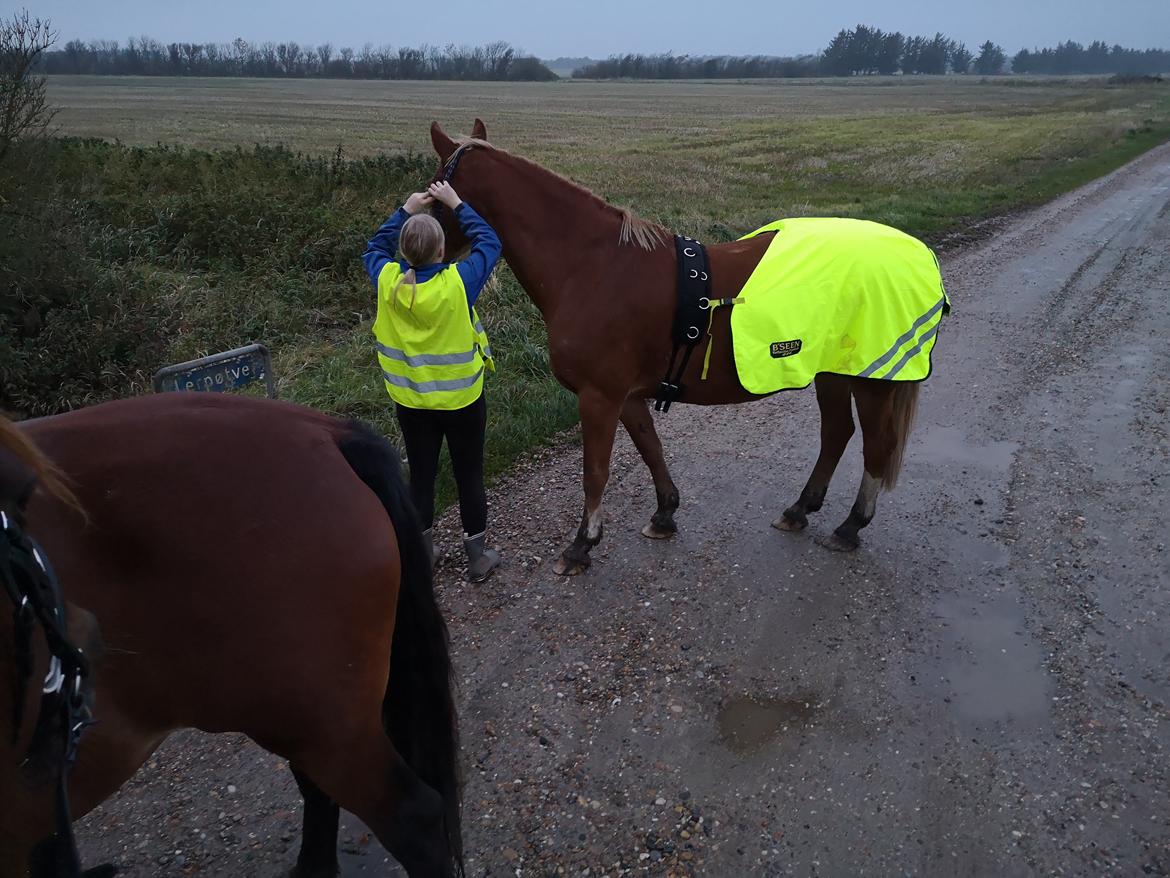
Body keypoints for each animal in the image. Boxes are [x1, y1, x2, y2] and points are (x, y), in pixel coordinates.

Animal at [430, 122, 931, 578]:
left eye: (433, 193)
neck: (593, 267)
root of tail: (913, 255)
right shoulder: (627, 396)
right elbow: (650, 448)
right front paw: (665, 513)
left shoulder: (598, 397)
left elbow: (596, 471)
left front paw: (582, 544)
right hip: (831, 373)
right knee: (836, 434)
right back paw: (800, 510)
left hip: (870, 379)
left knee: (876, 445)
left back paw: (851, 526)